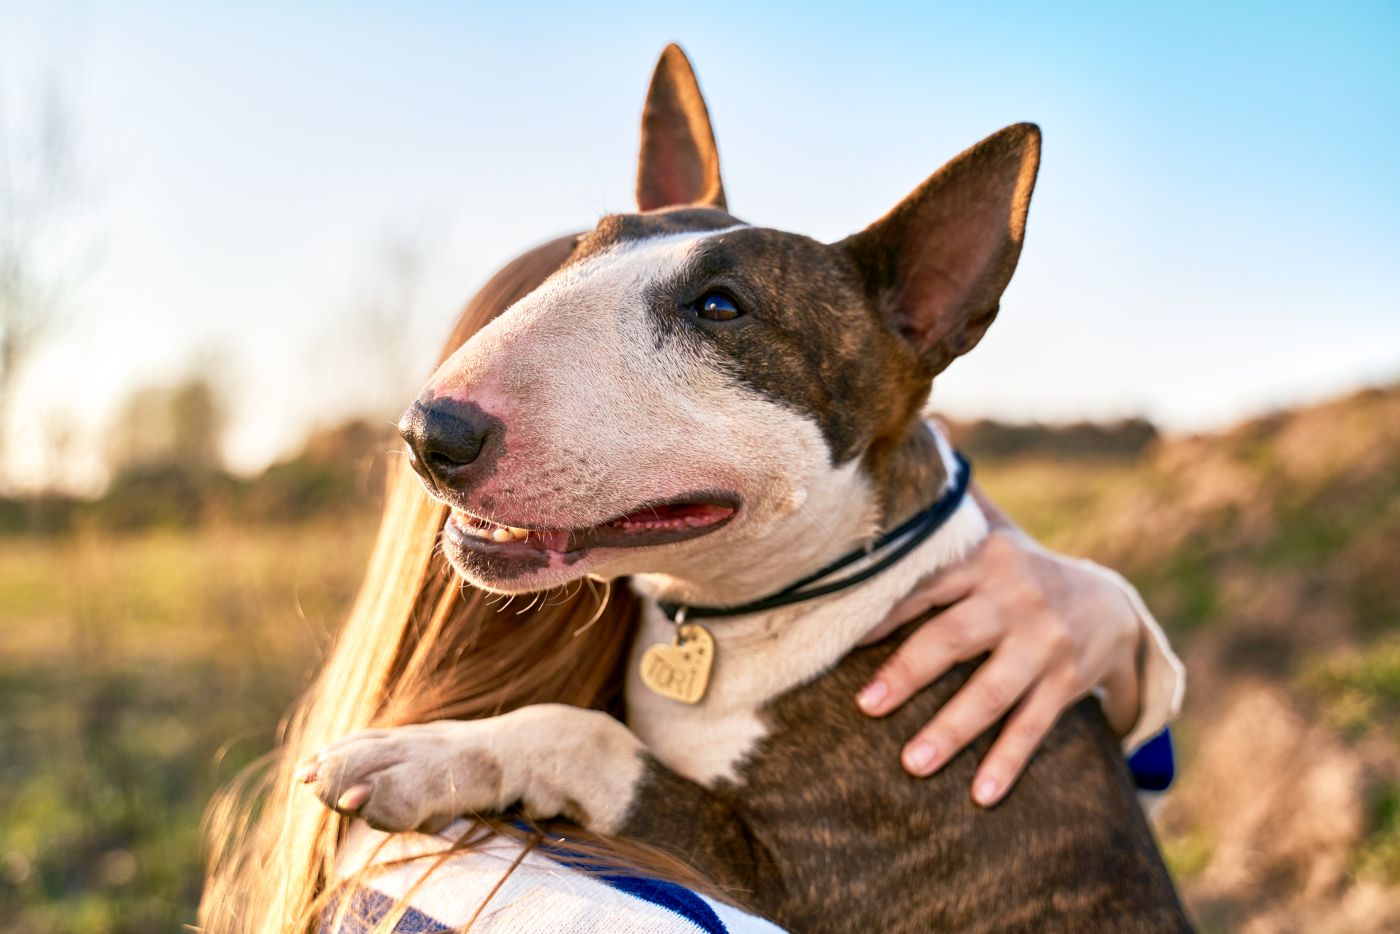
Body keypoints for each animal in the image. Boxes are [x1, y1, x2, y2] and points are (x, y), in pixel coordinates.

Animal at [301, 45, 1187, 934]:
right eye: (581, 251)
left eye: (721, 307)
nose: (431, 434)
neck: (758, 614)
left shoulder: (809, 884)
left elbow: (590, 737)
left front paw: (410, 754)